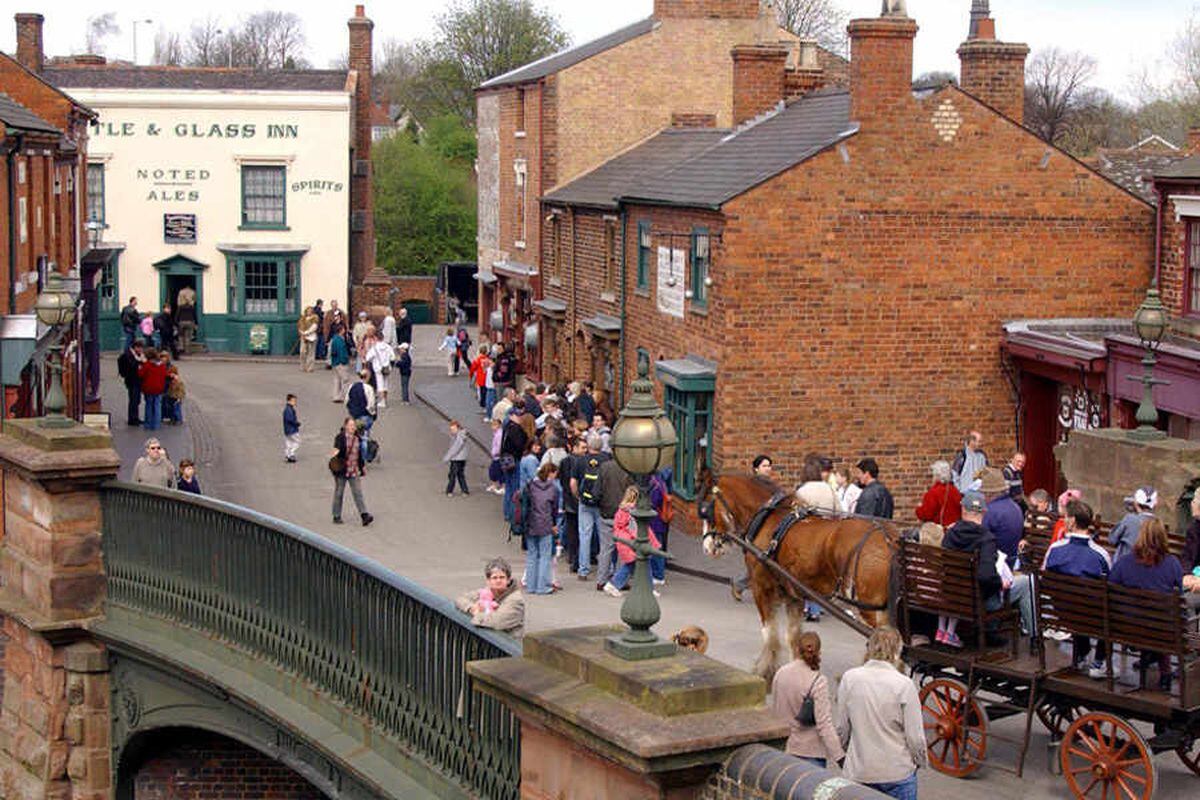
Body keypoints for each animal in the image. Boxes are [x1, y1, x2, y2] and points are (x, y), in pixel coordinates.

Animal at [696, 474, 902, 681]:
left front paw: (765, 671)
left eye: (706, 510)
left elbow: (770, 635)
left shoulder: (761, 589)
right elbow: (793, 637)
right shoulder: (793, 595)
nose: (706, 546)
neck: (770, 521)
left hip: (868, 608)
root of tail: (890, 539)